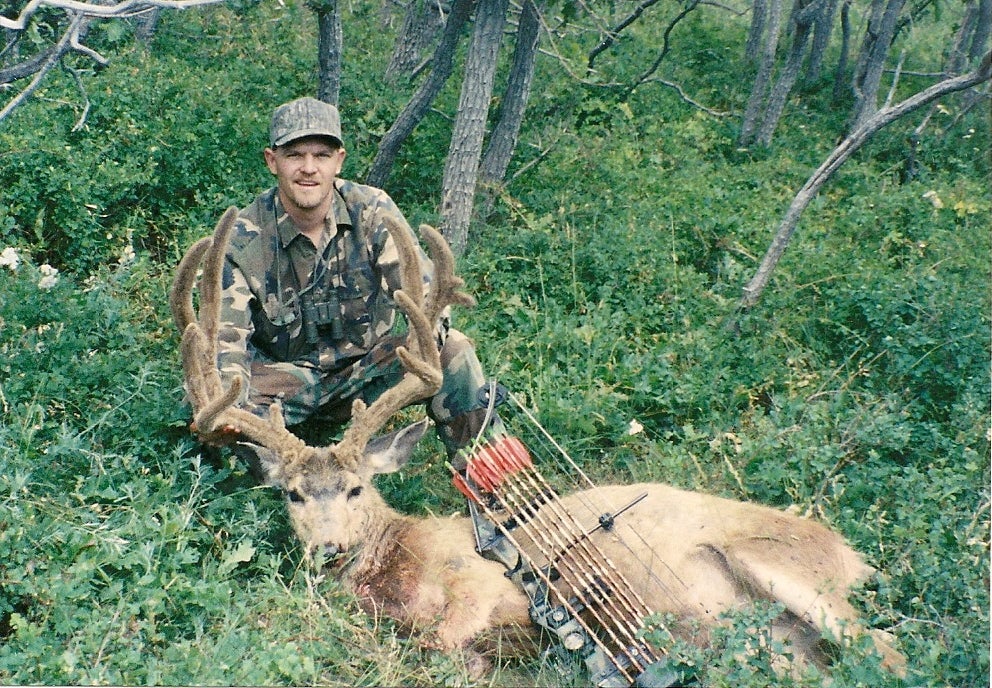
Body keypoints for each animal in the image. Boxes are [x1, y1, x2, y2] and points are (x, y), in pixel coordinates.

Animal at [170, 208, 906, 684]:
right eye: (293, 495)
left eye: (357, 488)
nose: (330, 549)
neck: (401, 565)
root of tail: (852, 553)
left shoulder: (484, 584)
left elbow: (443, 641)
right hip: (783, 642)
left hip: (789, 571)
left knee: (890, 649)